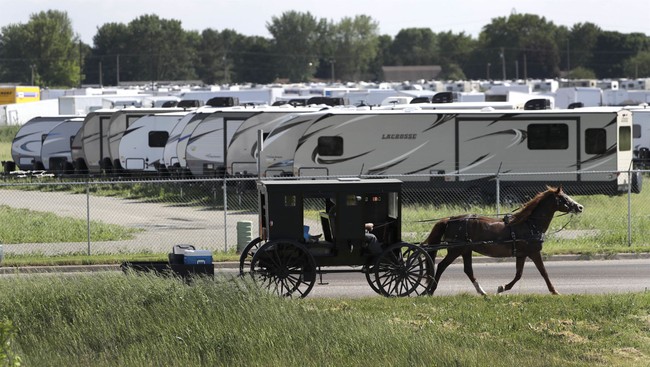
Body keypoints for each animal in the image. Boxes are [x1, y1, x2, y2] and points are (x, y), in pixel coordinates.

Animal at [420, 187, 584, 296]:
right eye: (564, 198)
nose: (580, 207)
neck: (529, 224)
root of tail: (451, 219)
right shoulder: (533, 252)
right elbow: (544, 272)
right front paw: (554, 291)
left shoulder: (521, 254)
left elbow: (518, 274)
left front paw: (502, 288)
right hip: (456, 250)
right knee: (441, 266)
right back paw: (431, 290)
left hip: (466, 249)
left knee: (468, 270)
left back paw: (482, 292)